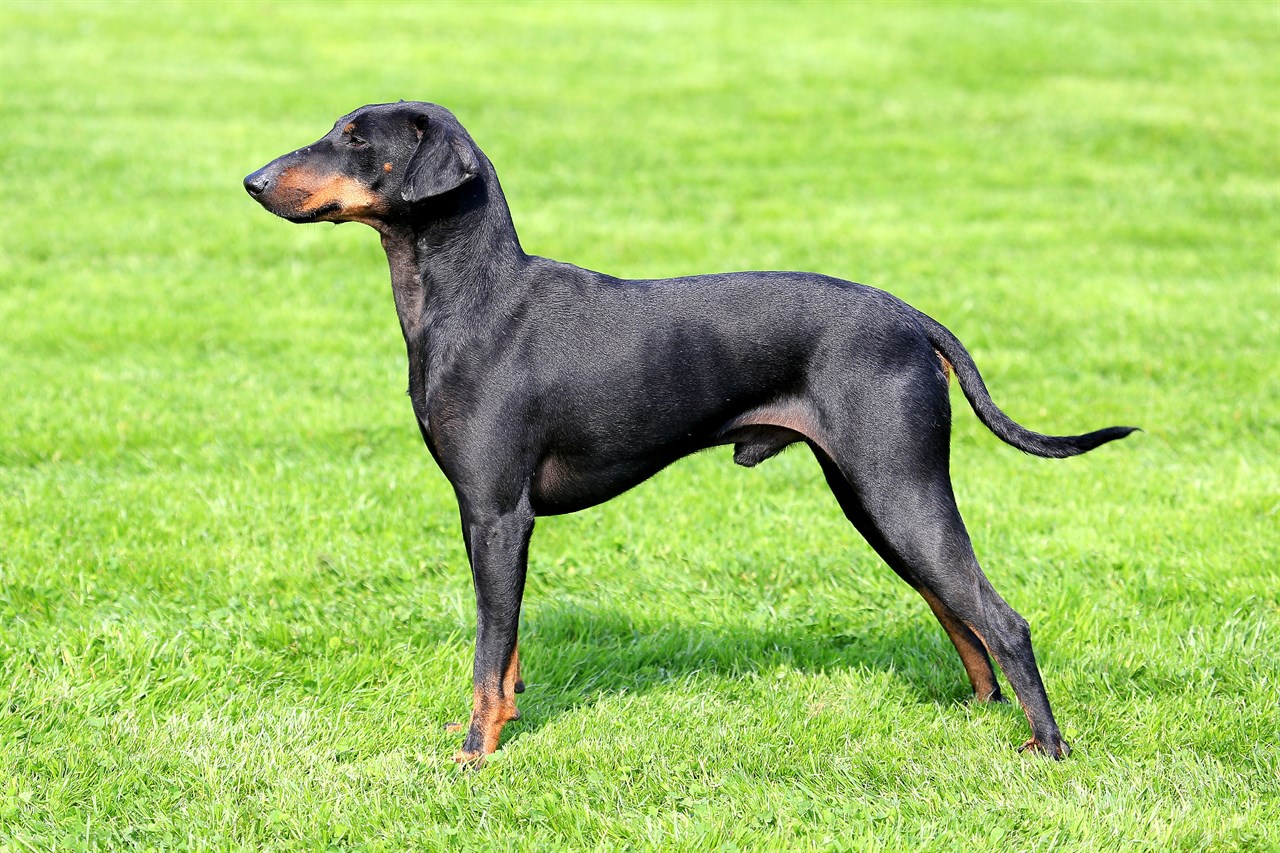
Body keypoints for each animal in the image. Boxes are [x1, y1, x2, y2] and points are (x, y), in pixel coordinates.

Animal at [244, 101, 1136, 763]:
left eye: (358, 139)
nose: (252, 180)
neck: (473, 298)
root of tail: (914, 317)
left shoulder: (496, 514)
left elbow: (487, 653)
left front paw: (475, 750)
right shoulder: (492, 523)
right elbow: (510, 643)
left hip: (898, 488)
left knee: (1002, 619)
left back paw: (1047, 747)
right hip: (874, 498)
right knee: (959, 612)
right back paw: (981, 711)